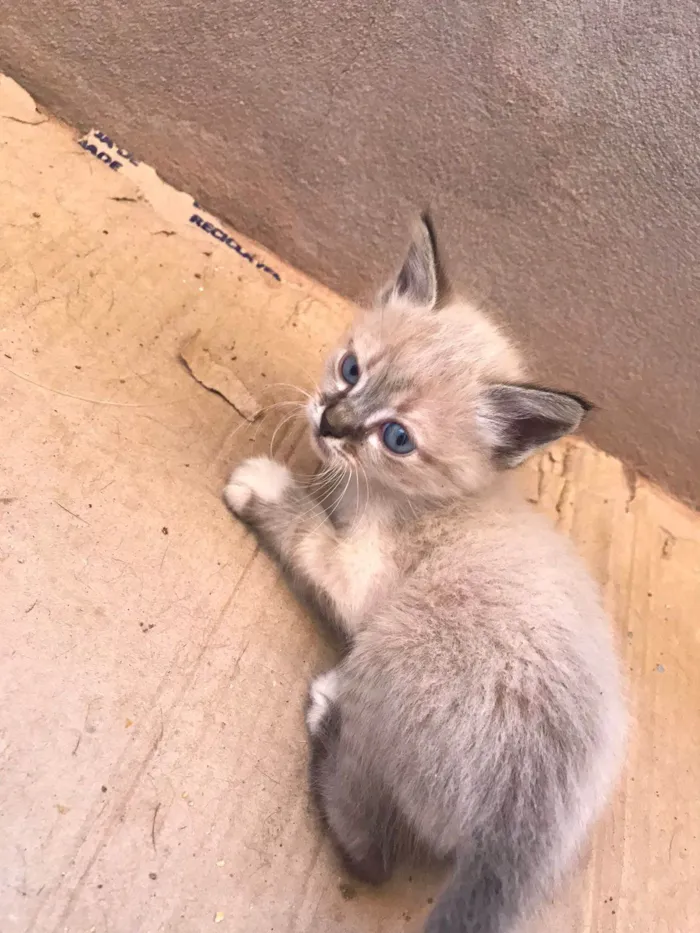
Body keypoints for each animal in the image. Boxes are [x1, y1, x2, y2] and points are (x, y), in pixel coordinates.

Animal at [223, 217, 624, 932]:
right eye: (351, 369)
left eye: (397, 439)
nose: (330, 422)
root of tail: (523, 830)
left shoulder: (360, 578)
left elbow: (309, 529)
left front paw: (268, 485)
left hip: (392, 649)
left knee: (372, 857)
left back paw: (328, 714)